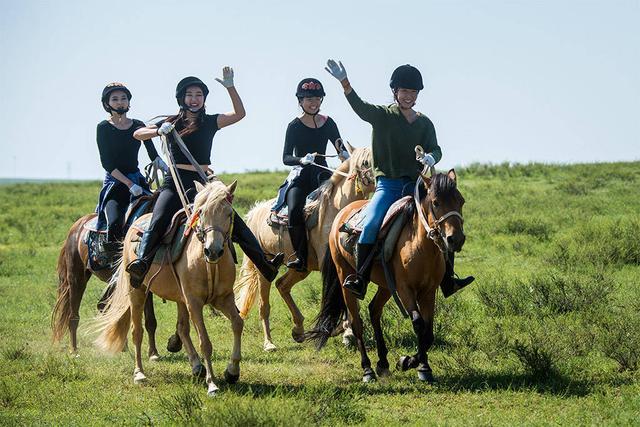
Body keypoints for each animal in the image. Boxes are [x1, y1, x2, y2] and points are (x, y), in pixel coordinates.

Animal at [53, 196, 161, 360]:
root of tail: (76, 227)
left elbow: (150, 321)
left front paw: (154, 352)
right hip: (76, 278)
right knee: (73, 316)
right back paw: (74, 350)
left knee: (103, 307)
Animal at [94, 180, 242, 398]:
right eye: (201, 212)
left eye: (229, 213)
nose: (212, 250)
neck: (207, 263)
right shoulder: (194, 302)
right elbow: (205, 342)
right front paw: (212, 384)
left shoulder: (224, 298)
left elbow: (238, 324)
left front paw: (232, 371)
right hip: (137, 292)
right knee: (137, 331)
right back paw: (140, 373)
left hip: (180, 299)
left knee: (182, 329)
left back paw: (196, 367)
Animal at [234, 144, 376, 352]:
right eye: (365, 162)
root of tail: (255, 212)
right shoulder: (332, 265)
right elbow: (340, 296)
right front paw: (346, 332)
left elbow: (350, 295)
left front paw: (343, 331)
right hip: (265, 267)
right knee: (264, 306)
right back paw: (269, 343)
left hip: (302, 267)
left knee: (282, 285)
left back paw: (299, 329)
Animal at [308, 171, 464, 384]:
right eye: (436, 202)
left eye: (461, 201)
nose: (456, 239)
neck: (420, 246)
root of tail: (342, 213)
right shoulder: (405, 290)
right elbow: (418, 323)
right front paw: (410, 363)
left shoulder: (428, 291)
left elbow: (429, 332)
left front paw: (420, 366)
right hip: (344, 277)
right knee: (356, 323)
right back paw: (367, 369)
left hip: (386, 286)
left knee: (374, 310)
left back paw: (382, 362)